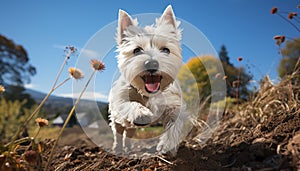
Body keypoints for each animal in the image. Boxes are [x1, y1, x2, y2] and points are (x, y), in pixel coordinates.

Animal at [108, 5, 188, 155]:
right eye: (137, 50)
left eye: (166, 50)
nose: (152, 63)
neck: (149, 94)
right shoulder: (120, 100)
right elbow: (129, 103)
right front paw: (141, 113)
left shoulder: (173, 104)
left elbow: (175, 123)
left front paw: (166, 146)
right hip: (116, 119)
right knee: (119, 133)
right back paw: (118, 149)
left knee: (129, 134)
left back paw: (128, 148)